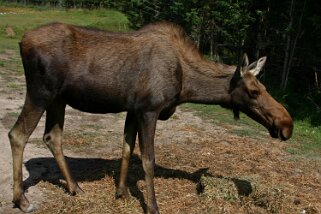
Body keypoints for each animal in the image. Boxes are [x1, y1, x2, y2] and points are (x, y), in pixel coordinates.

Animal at [8, 22, 292, 213]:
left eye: (264, 87)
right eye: (254, 91)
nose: (286, 124)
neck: (186, 84)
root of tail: (22, 41)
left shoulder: (133, 110)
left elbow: (126, 149)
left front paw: (121, 193)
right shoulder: (149, 110)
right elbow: (148, 160)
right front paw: (153, 206)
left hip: (59, 99)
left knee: (52, 136)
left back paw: (75, 187)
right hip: (41, 92)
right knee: (17, 134)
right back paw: (22, 200)